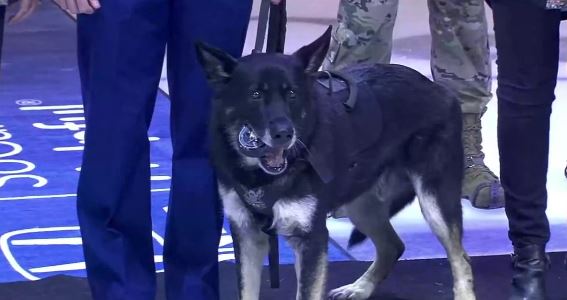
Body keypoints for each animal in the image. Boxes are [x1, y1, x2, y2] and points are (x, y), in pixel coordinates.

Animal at [195, 27, 474, 300]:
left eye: (292, 94)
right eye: (255, 95)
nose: (285, 134)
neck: (262, 177)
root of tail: (439, 89)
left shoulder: (311, 239)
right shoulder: (247, 235)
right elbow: (247, 291)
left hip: (435, 204)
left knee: (461, 258)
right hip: (360, 205)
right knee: (393, 246)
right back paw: (359, 288)